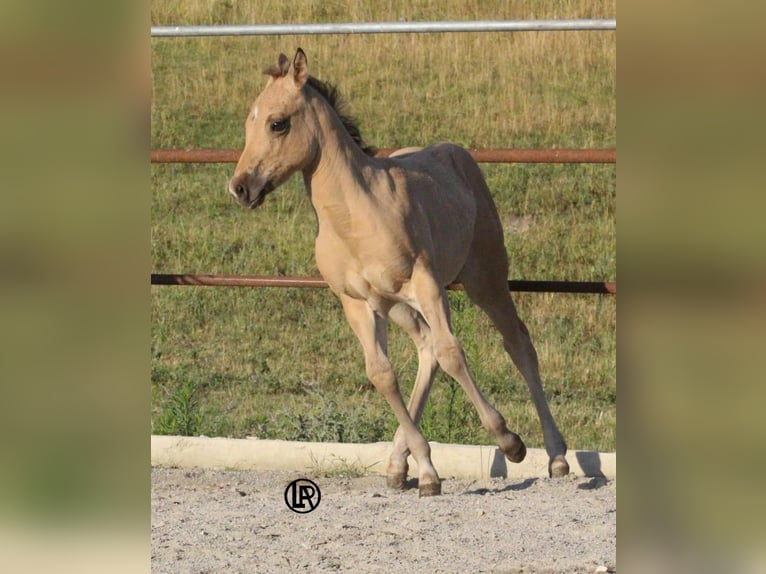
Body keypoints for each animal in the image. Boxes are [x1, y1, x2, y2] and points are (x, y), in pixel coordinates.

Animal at [228, 49, 569, 496]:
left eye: (277, 122)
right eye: (248, 123)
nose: (240, 188)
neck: (355, 217)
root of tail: (456, 152)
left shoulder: (423, 283)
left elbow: (453, 353)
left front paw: (509, 441)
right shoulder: (355, 302)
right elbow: (382, 374)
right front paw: (426, 472)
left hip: (484, 278)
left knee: (517, 345)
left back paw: (557, 456)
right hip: (395, 305)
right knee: (426, 348)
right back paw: (400, 464)